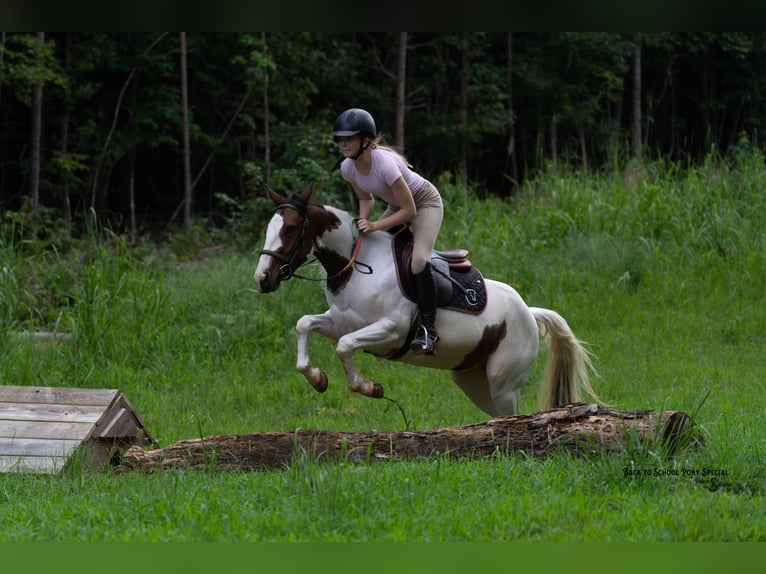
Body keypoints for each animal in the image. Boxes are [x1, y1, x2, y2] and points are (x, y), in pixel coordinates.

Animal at [253, 185, 600, 417]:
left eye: (291, 228)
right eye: (268, 227)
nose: (262, 278)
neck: (358, 265)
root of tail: (529, 312)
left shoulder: (391, 329)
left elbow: (344, 346)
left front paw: (368, 388)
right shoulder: (341, 321)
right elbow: (305, 325)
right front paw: (317, 378)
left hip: (503, 380)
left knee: (512, 416)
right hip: (472, 379)